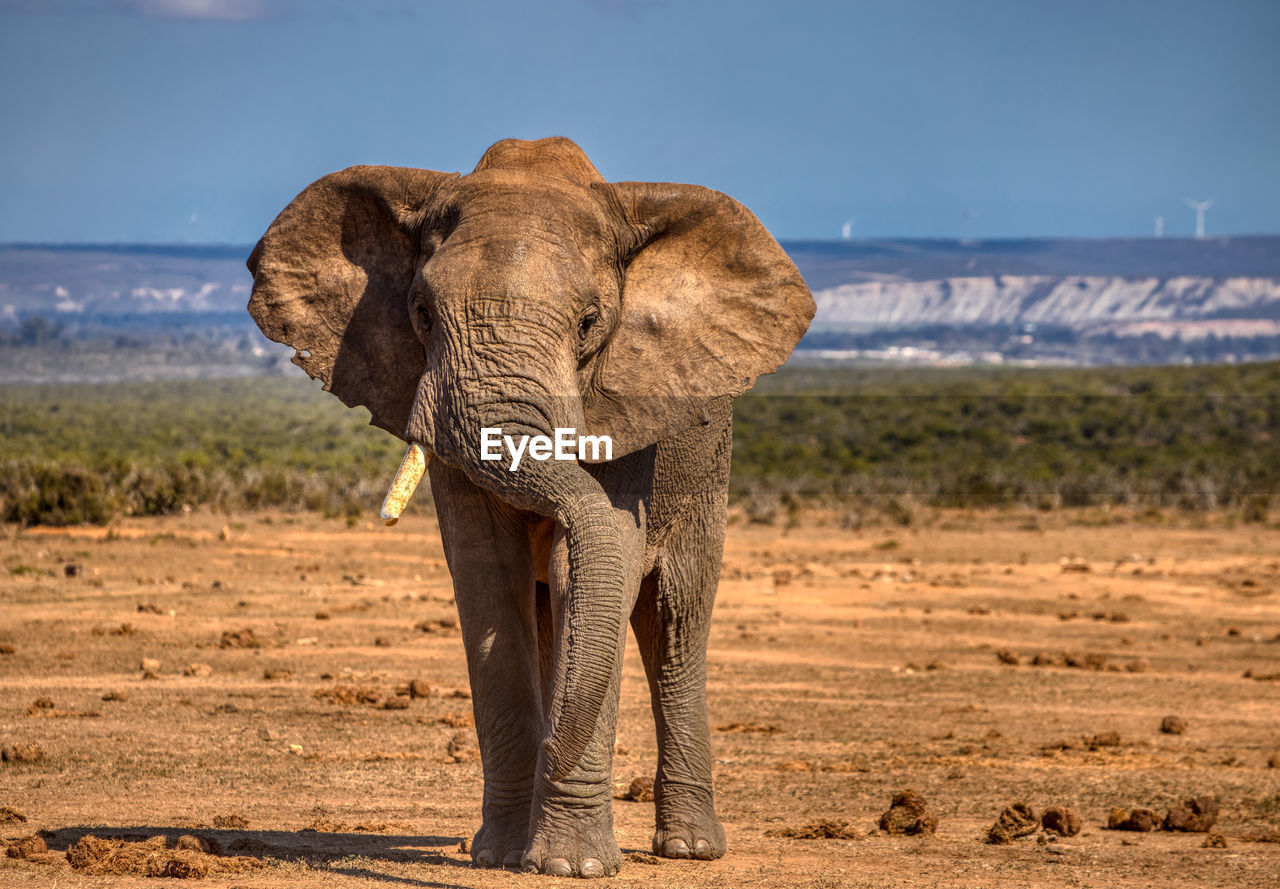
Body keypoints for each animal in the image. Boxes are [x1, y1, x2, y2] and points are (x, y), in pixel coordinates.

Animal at [244, 137, 814, 874]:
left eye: (590, 322)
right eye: (421, 312)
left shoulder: (623, 402)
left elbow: (598, 566)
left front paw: (571, 866)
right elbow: (489, 576)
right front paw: (498, 854)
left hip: (709, 462)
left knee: (673, 618)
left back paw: (690, 848)